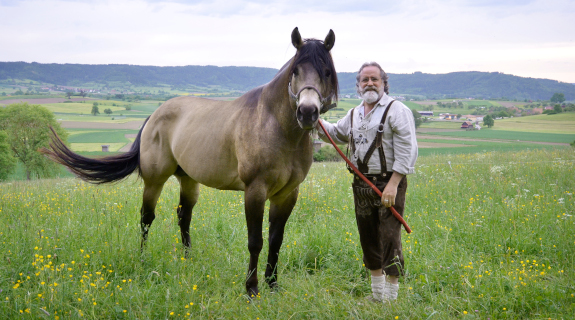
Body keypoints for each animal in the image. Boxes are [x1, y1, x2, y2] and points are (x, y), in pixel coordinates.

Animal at [42, 28, 340, 298]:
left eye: (326, 72)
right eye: (295, 71)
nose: (307, 112)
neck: (275, 126)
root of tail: (155, 114)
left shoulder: (287, 194)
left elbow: (276, 240)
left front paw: (273, 285)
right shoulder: (255, 191)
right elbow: (256, 241)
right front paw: (252, 289)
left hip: (188, 179)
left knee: (183, 216)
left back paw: (188, 260)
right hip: (154, 181)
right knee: (146, 218)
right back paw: (142, 259)